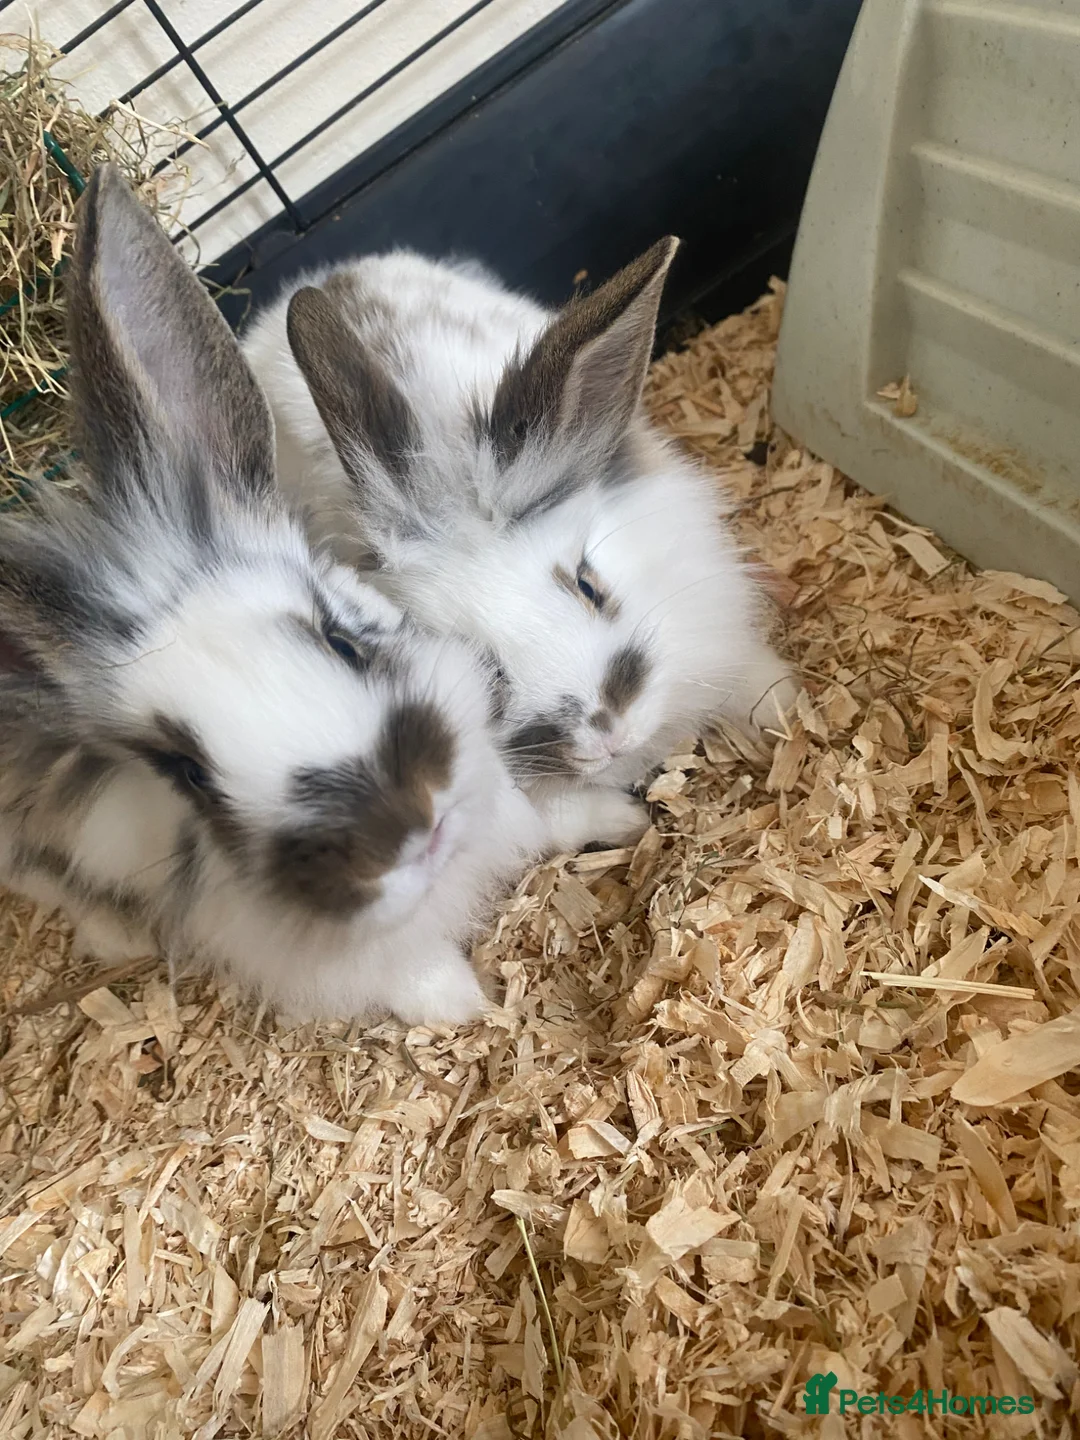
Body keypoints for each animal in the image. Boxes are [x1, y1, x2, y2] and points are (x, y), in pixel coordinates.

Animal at [0, 165, 622, 1029]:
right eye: (185, 773)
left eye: (342, 640)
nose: (408, 827)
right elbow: (417, 976)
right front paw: (470, 1009)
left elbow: (549, 820)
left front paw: (622, 816)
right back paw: (115, 934)